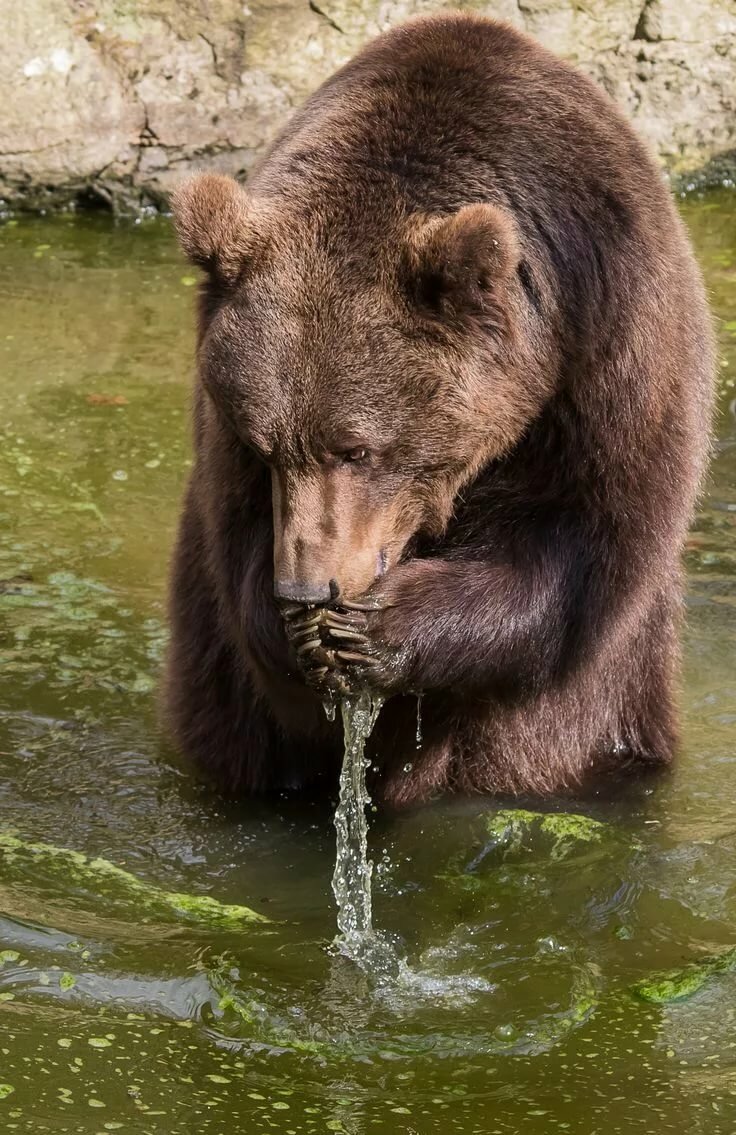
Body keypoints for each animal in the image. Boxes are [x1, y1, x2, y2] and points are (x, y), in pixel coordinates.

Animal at [164, 12, 714, 807]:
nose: (307, 585)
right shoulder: (223, 447)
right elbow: (234, 540)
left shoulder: (607, 345)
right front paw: (303, 639)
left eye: (358, 448)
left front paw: (379, 627)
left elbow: (581, 549)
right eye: (266, 446)